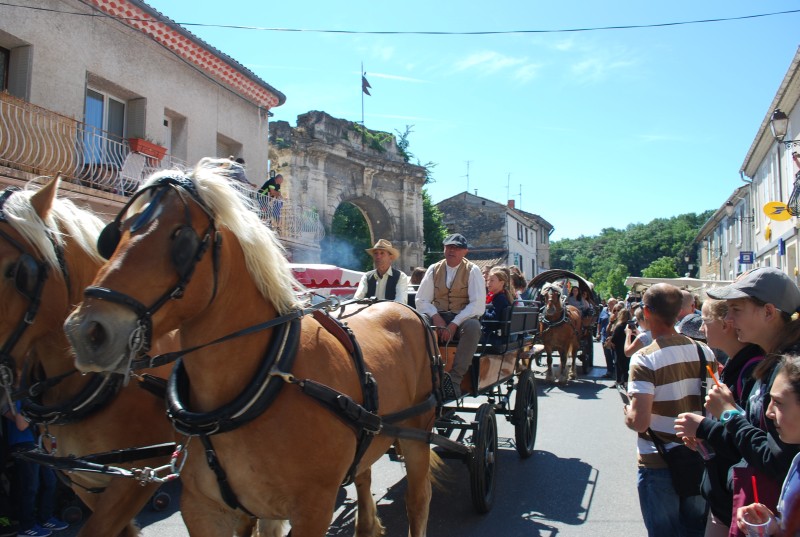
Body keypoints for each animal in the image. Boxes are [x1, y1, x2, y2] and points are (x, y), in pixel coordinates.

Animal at [62, 159, 438, 536]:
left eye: (181, 237)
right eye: (114, 234)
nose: (86, 331)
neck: (266, 378)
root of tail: (399, 306)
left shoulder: (314, 508)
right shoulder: (204, 508)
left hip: (417, 434)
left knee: (418, 502)